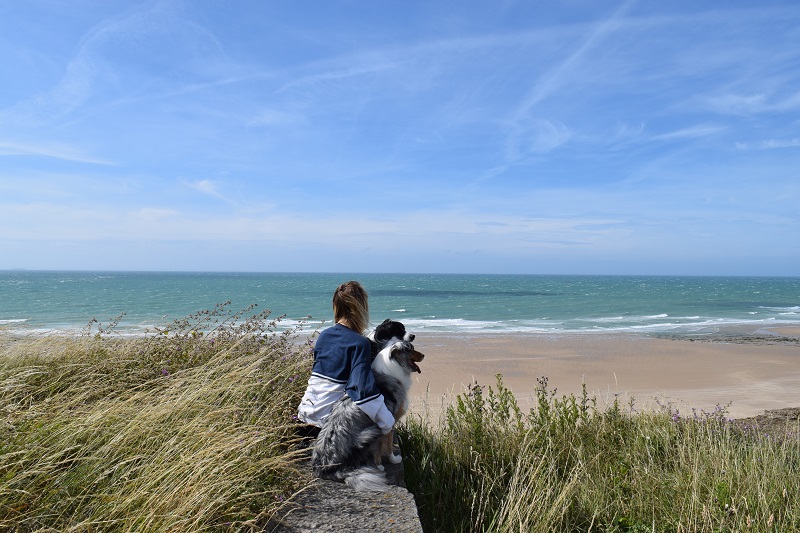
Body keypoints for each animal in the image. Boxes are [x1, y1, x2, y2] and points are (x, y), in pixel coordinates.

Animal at [310, 336, 424, 490]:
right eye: (411, 349)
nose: (423, 355)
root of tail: (323, 469)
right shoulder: (389, 421)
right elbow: (387, 446)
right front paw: (389, 462)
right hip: (369, 432)